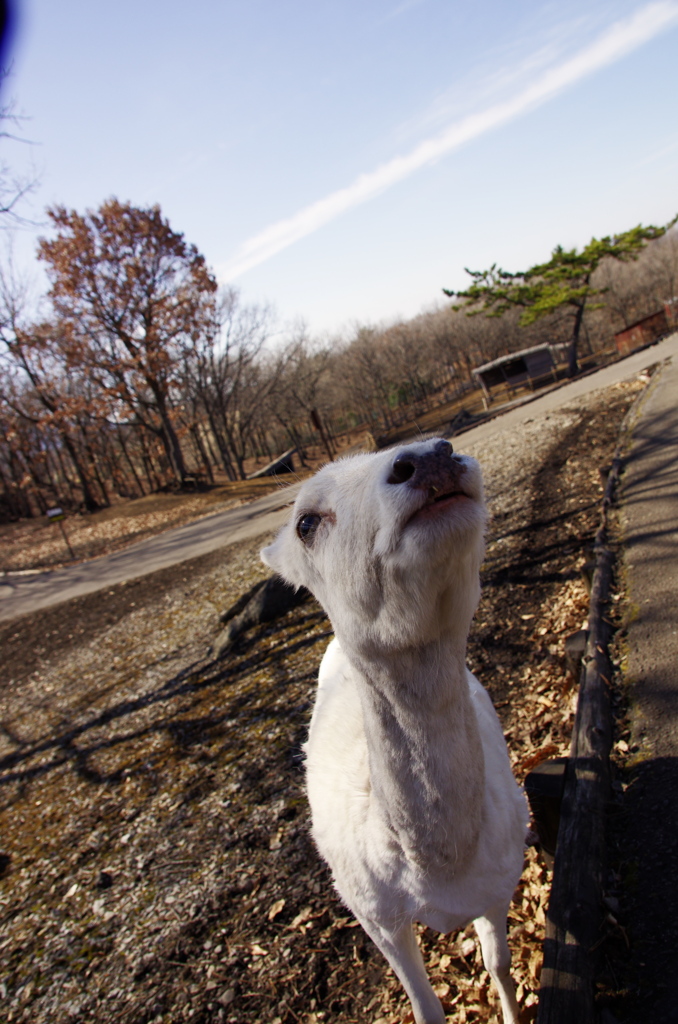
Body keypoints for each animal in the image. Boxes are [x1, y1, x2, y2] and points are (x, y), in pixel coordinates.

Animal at [262, 436, 528, 1019]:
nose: (430, 455)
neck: (443, 871)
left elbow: (499, 963)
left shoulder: (501, 881)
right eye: (305, 522)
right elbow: (424, 1006)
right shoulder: (374, 914)